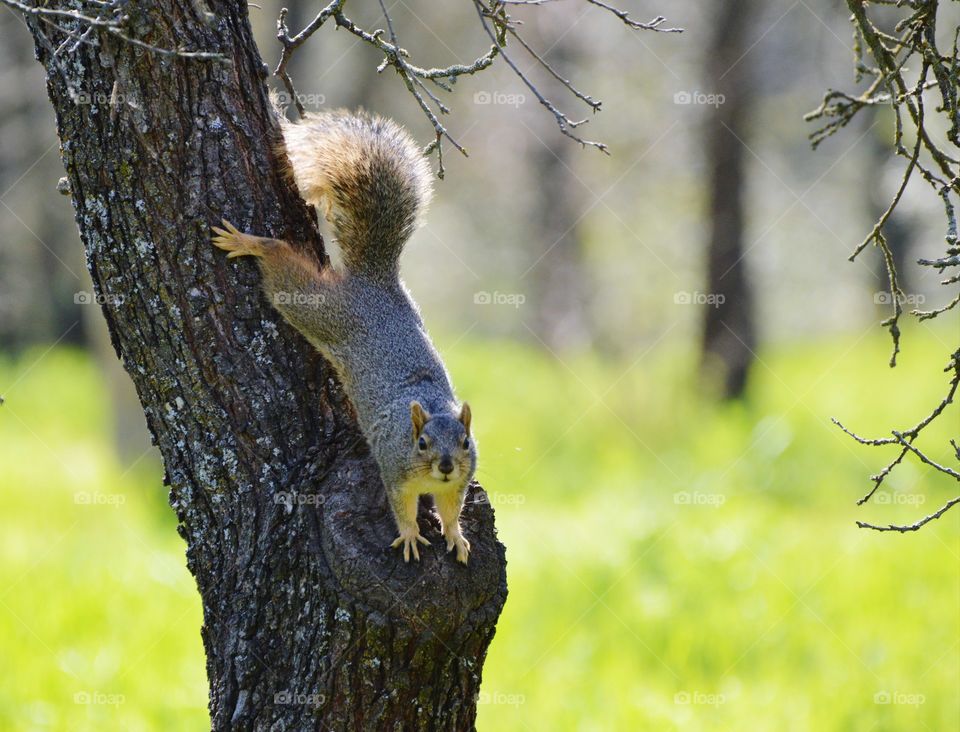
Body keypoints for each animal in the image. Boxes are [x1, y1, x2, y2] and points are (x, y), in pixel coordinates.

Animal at [211, 108, 476, 564]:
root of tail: (376, 281)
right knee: (286, 276)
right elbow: (401, 507)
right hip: (323, 312)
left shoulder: (459, 482)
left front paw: (456, 535)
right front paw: (410, 534)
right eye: (422, 443)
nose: (444, 466)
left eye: (463, 442)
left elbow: (451, 508)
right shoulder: (394, 470)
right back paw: (253, 244)